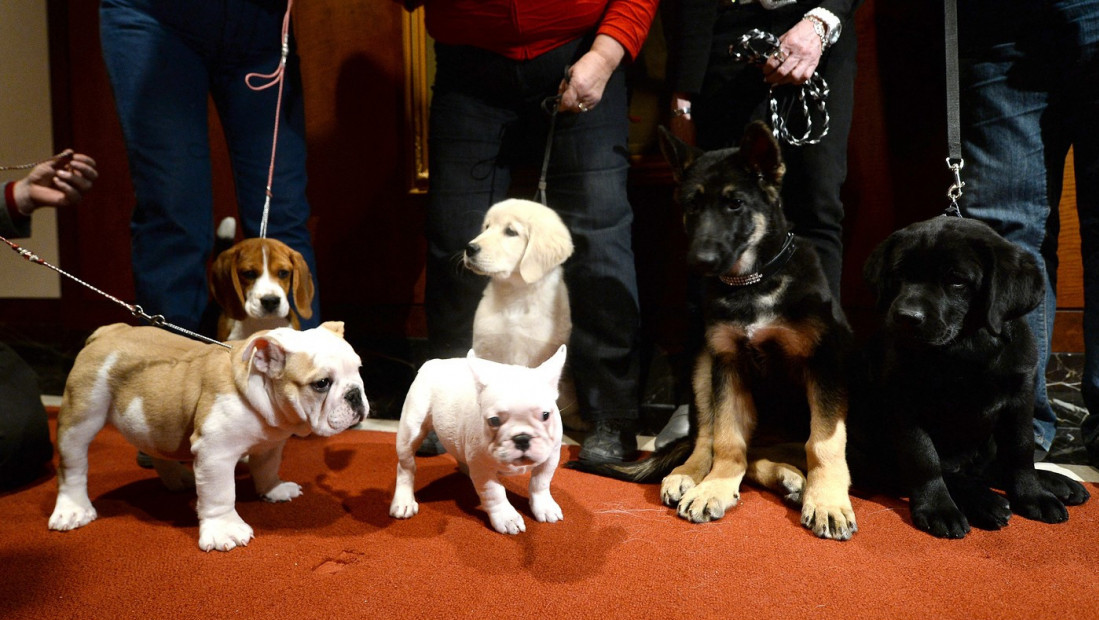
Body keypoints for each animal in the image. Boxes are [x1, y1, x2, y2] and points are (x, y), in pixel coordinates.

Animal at [49, 323, 367, 549]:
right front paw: (224, 529)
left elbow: (266, 467)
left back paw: (179, 479)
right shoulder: (216, 452)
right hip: (82, 415)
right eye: (321, 383)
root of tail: (108, 332)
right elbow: (220, 493)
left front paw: (273, 490)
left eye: (359, 370)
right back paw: (73, 509)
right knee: (73, 466)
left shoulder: (271, 442)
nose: (355, 394)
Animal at [391, 342, 567, 532]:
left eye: (545, 415)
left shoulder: (551, 456)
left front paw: (544, 506)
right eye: (494, 420)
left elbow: (540, 482)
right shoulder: (483, 468)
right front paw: (507, 517)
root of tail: (435, 362)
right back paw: (404, 501)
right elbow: (494, 492)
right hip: (411, 429)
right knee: (406, 466)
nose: (522, 438)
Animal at [571, 120, 861, 538]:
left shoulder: (824, 364)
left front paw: (827, 501)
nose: (700, 262)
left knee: (769, 450)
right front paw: (715, 486)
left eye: (735, 204)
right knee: (708, 438)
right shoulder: (728, 362)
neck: (753, 283)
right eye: (691, 205)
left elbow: (823, 442)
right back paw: (691, 475)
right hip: (703, 365)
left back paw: (793, 479)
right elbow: (726, 440)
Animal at [844, 216, 1085, 538]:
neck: (965, 347)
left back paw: (1058, 483)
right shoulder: (905, 405)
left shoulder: (1020, 399)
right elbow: (924, 459)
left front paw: (1033, 495)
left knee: (988, 466)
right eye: (898, 274)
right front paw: (938, 508)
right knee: (946, 472)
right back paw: (986, 501)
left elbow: (1021, 451)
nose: (906, 317)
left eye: (957, 280)